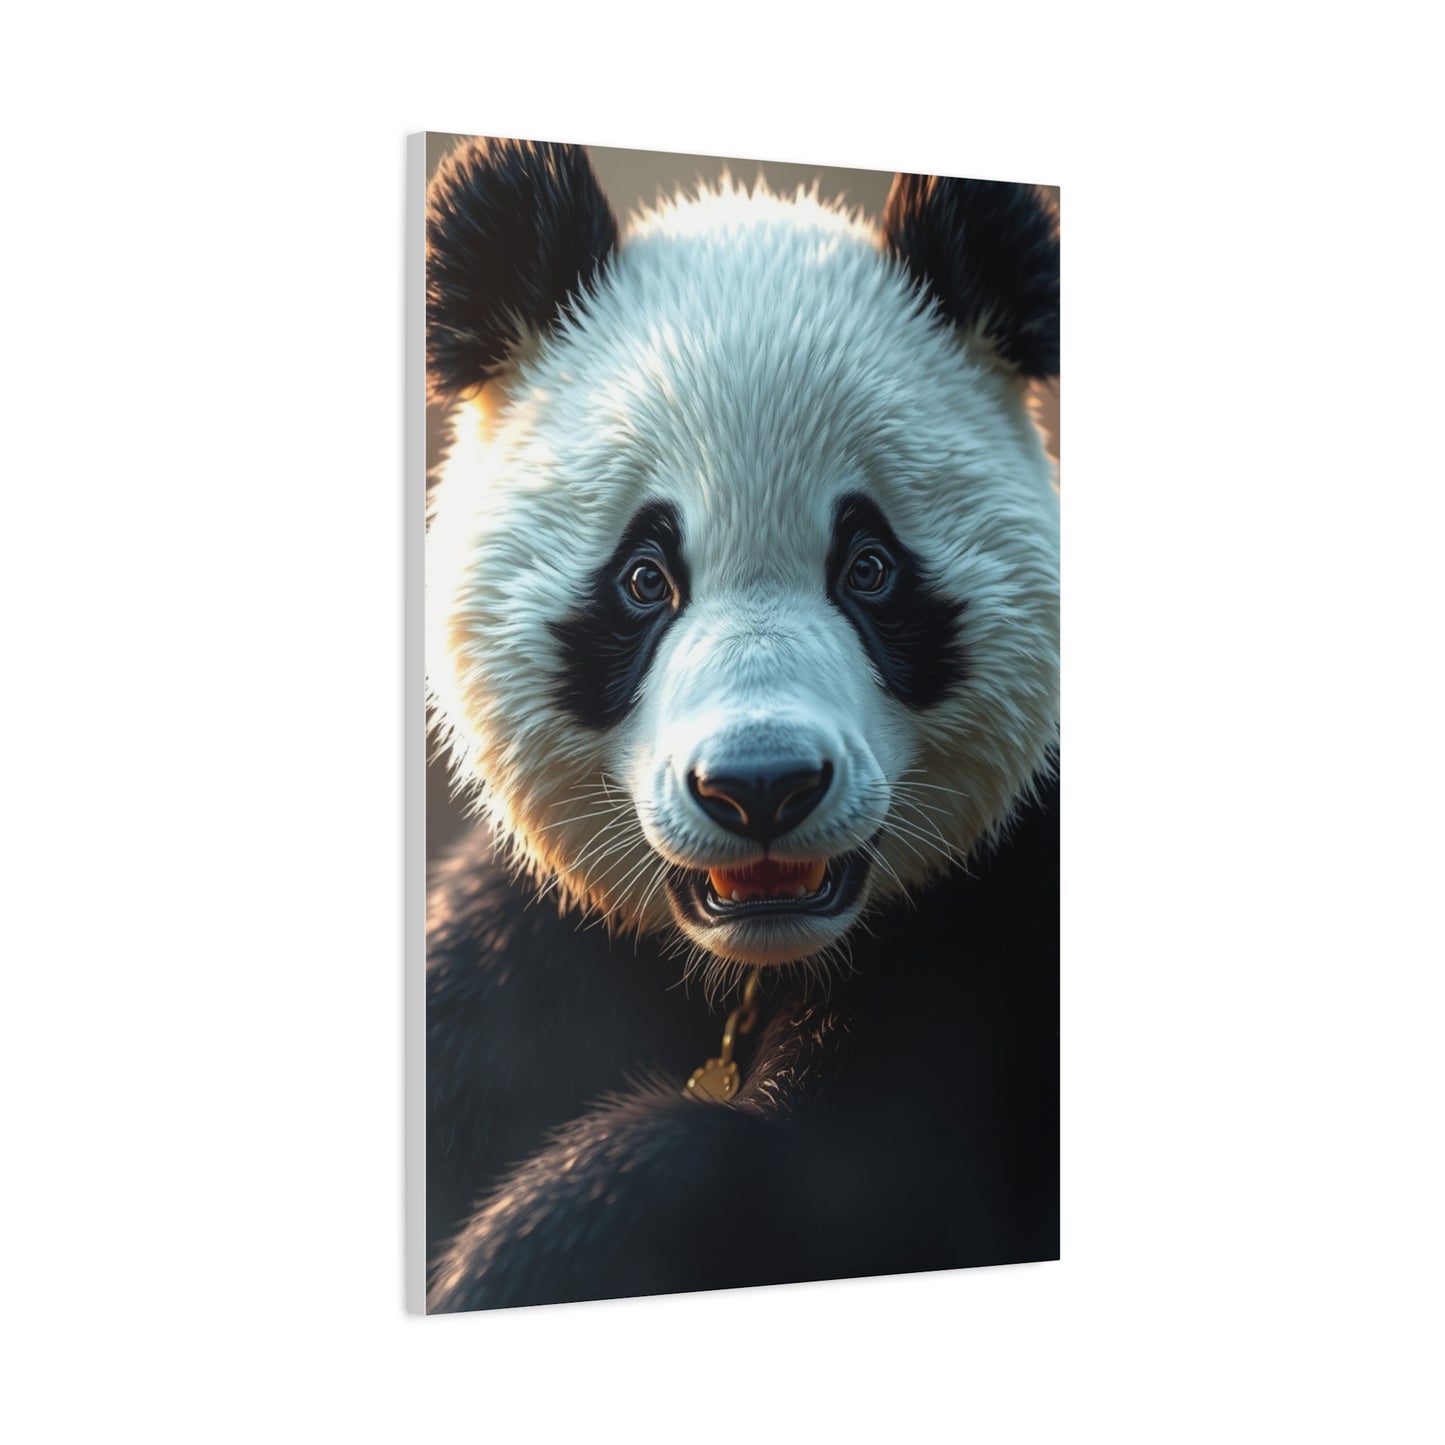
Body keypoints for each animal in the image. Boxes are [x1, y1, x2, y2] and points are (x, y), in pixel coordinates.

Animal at [423, 137, 1060, 1312]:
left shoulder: (998, 953)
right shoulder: (536, 954)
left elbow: (803, 1184)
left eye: (869, 567)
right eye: (643, 578)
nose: (760, 786)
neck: (758, 965)